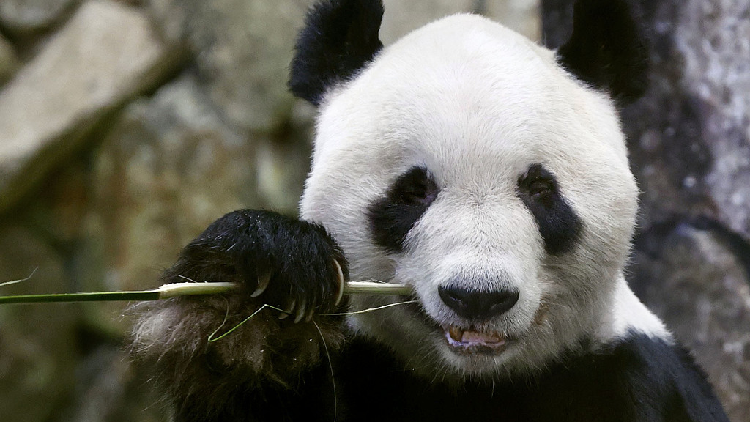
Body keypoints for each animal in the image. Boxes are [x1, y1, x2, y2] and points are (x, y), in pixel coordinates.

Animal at [131, 0, 736, 422]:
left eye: (541, 190)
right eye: (413, 191)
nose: (478, 297)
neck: (477, 381)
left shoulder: (633, 375)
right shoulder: (358, 371)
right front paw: (270, 273)